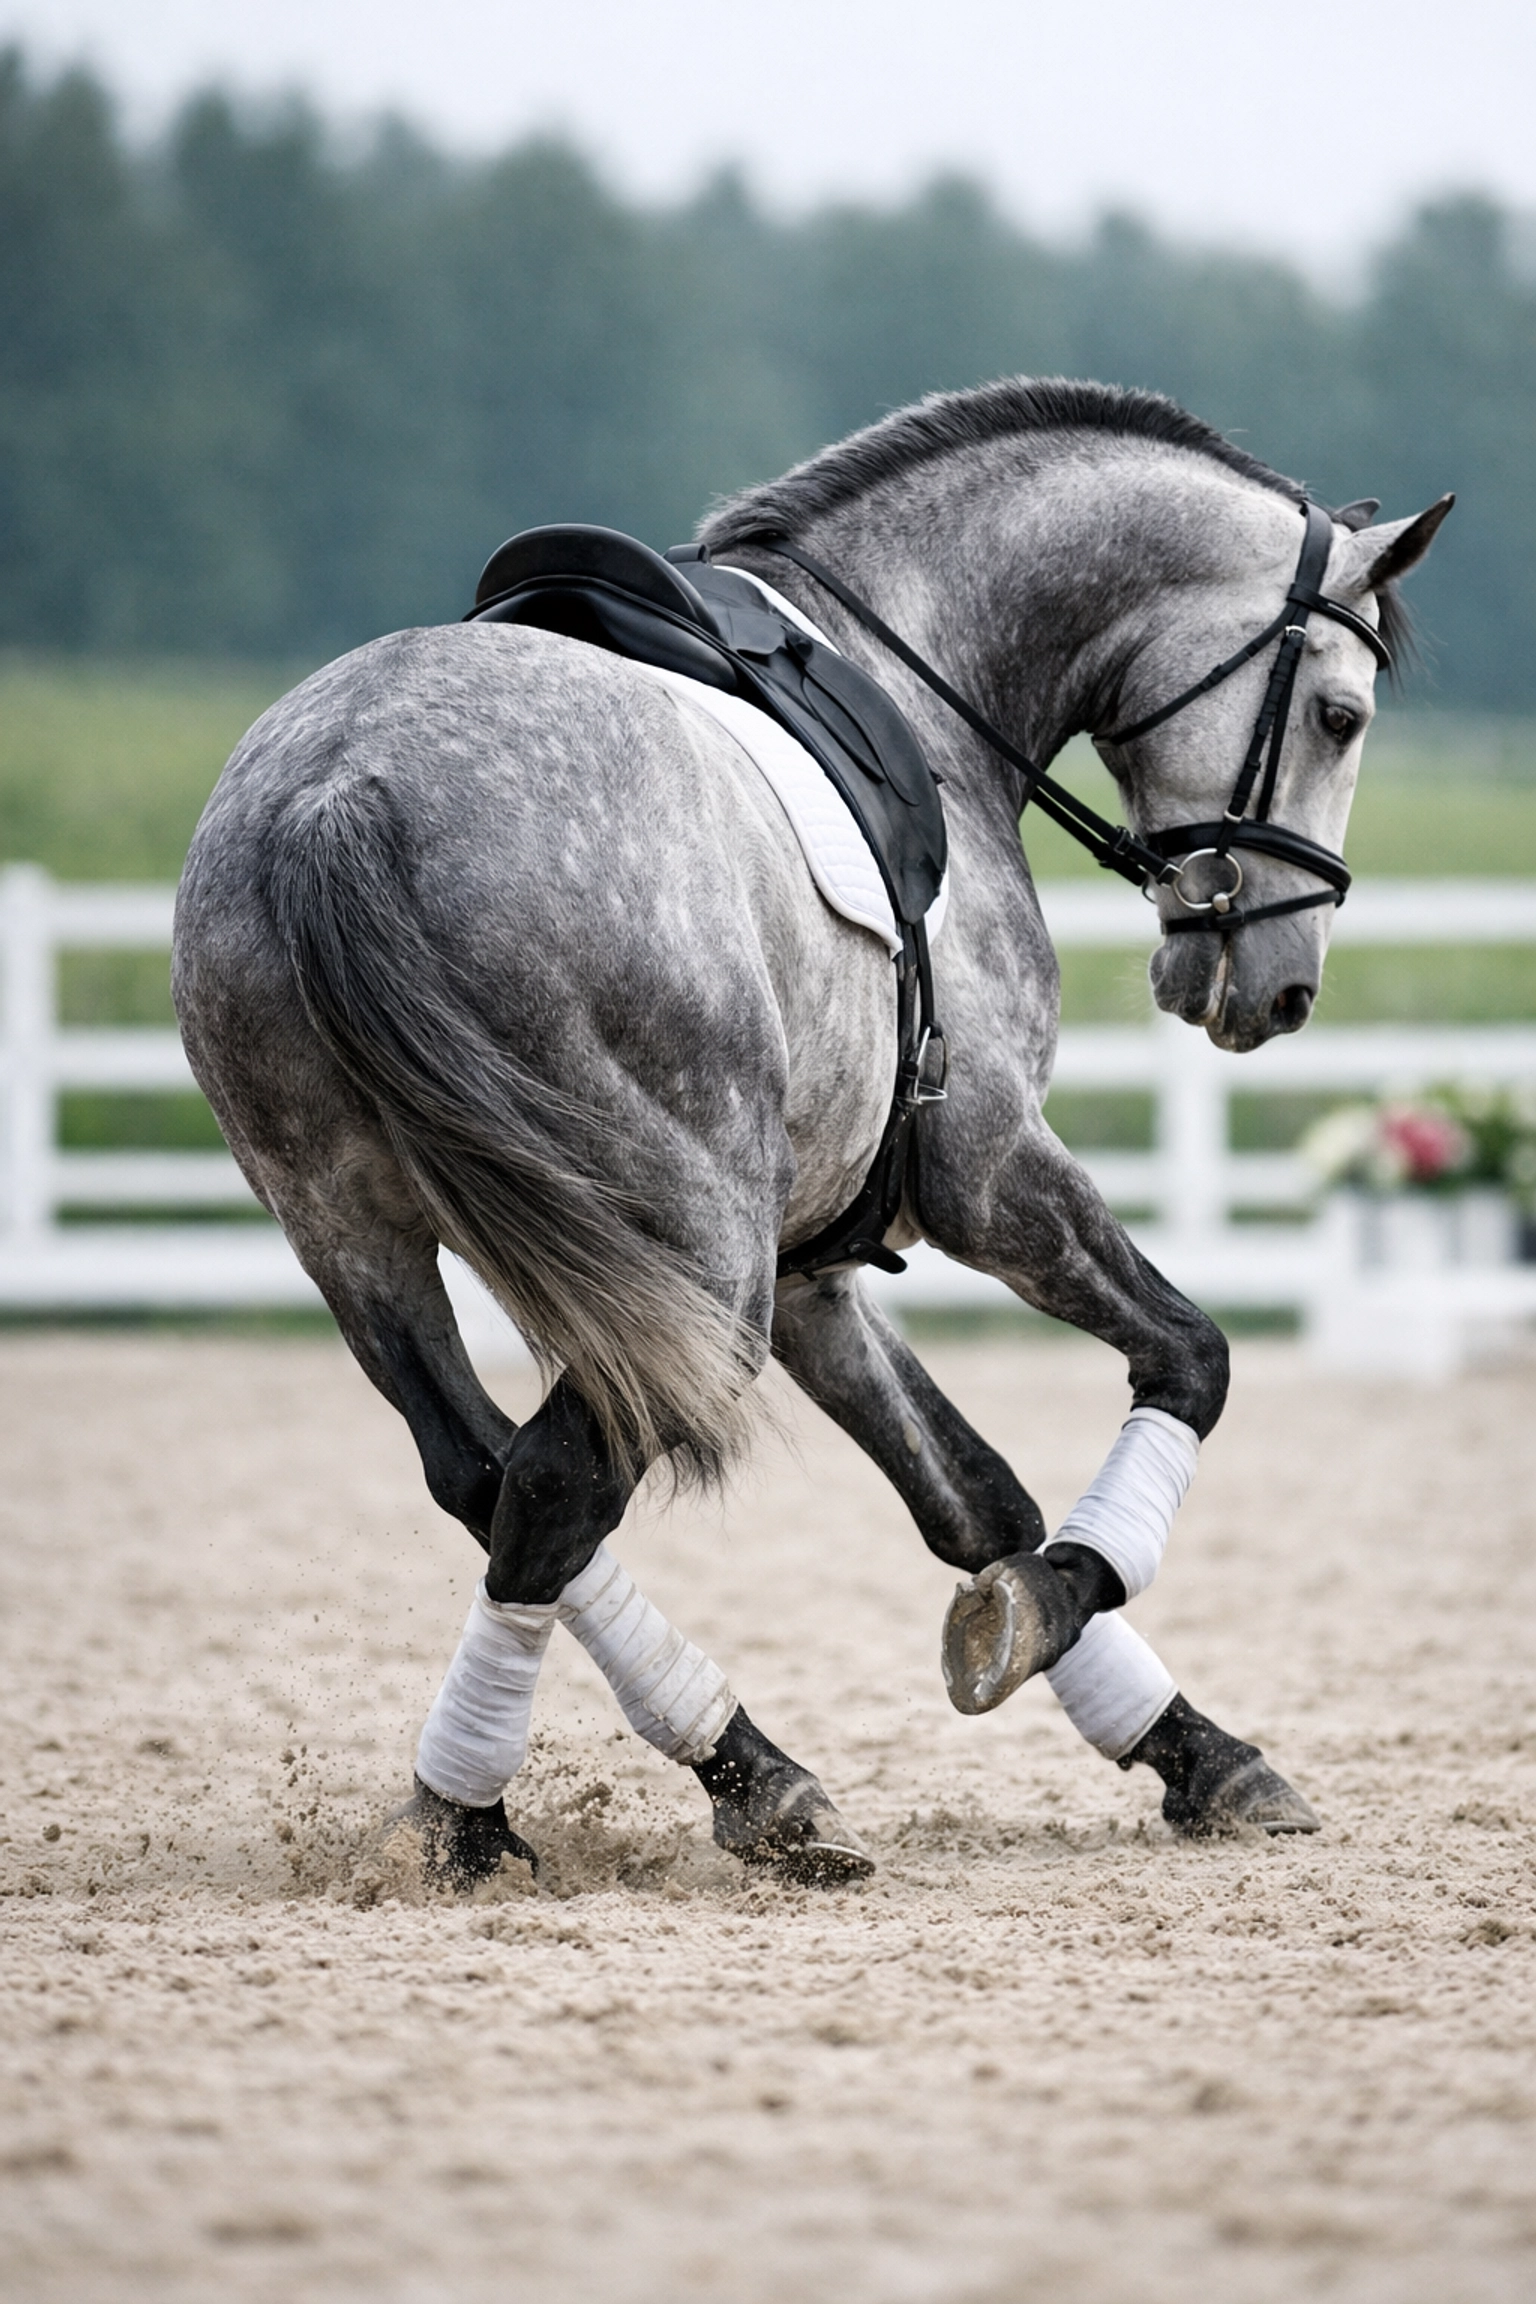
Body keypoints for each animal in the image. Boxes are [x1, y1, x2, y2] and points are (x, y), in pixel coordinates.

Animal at [172, 378, 1451, 1887]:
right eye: (1338, 715)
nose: (1278, 988)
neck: (933, 673)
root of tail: (339, 792)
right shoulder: (984, 1173)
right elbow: (1190, 1360)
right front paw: (1065, 1613)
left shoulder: (809, 1267)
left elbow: (971, 1497)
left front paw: (1181, 1741)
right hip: (691, 1250)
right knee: (551, 1486)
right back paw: (522, 1809)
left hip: (366, 1238)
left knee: (486, 1479)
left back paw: (678, 1778)